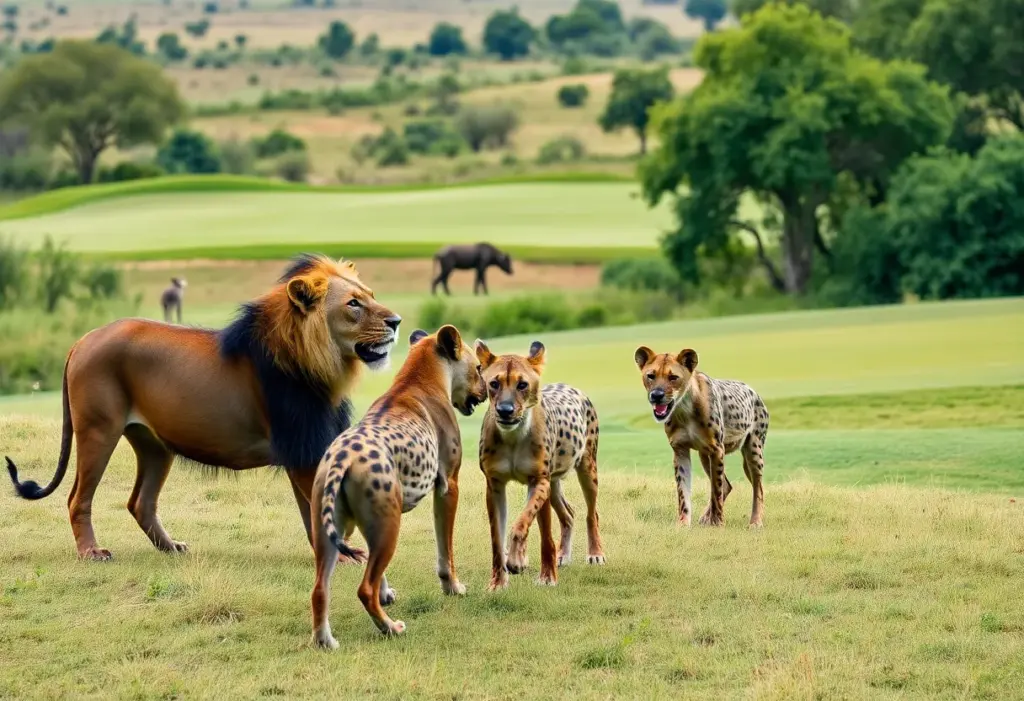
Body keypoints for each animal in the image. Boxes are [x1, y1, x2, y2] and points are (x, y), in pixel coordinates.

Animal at [6, 254, 401, 561]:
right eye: (353, 304)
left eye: (371, 296)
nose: (396, 322)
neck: (321, 363)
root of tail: (82, 340)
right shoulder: (301, 445)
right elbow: (321, 511)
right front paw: (345, 556)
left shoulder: (306, 447)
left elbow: (312, 513)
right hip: (98, 430)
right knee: (78, 498)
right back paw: (91, 552)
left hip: (154, 444)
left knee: (140, 502)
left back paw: (171, 548)